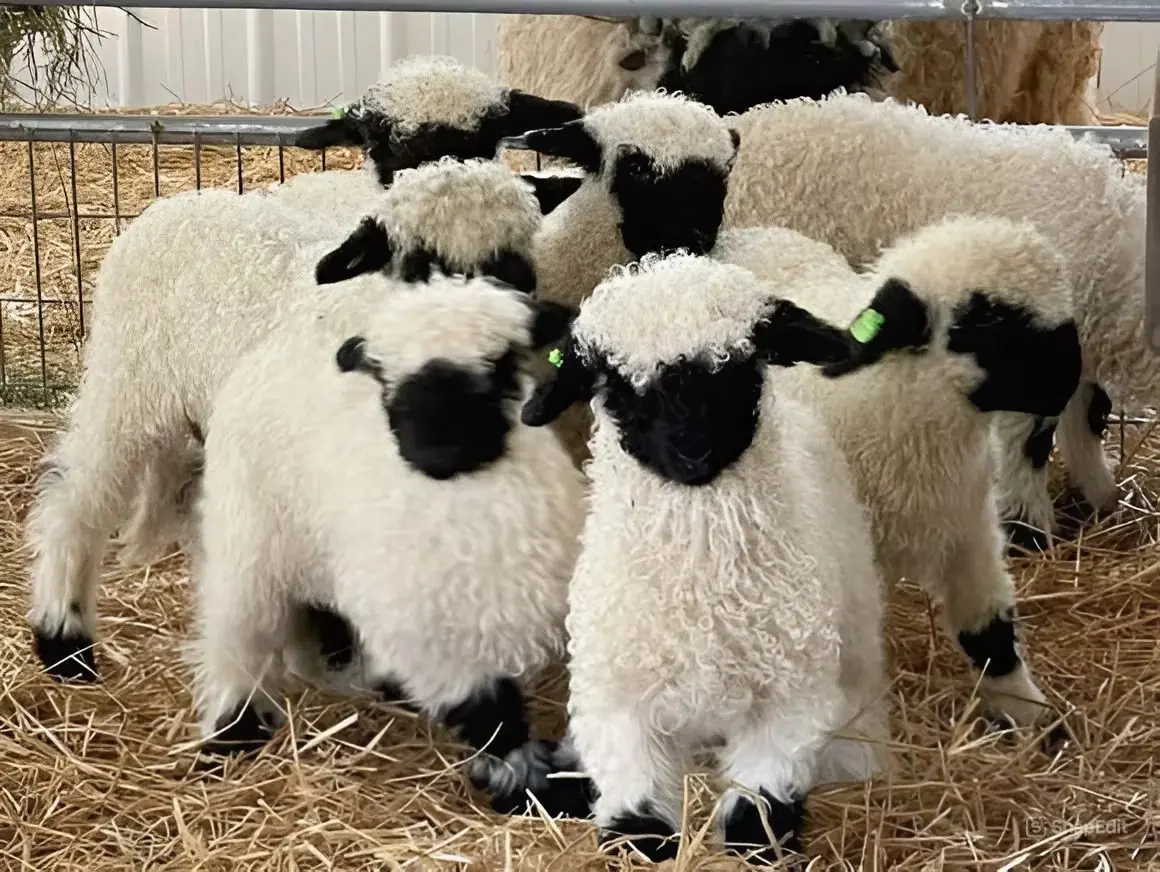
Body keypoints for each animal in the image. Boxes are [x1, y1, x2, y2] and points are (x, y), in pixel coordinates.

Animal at [26, 156, 545, 684]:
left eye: (514, 271)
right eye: (422, 265)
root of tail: (173, 203)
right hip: (125, 382)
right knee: (77, 501)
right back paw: (65, 641)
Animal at [189, 274, 585, 814]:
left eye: (503, 365)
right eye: (385, 380)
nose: (438, 447)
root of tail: (277, 348)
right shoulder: (437, 646)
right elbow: (495, 725)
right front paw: (523, 782)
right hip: (248, 540)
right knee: (238, 638)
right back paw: (232, 733)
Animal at [505, 88, 1142, 550]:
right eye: (634, 170)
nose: (690, 235)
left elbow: (1077, 419)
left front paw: (1094, 498)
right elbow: (1037, 436)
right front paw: (1036, 526)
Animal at [509, 250, 889, 862]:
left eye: (738, 368)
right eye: (619, 385)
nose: (693, 449)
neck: (702, 593)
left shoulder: (792, 695)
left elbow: (760, 797)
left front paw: (756, 843)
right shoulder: (616, 695)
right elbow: (635, 798)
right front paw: (642, 840)